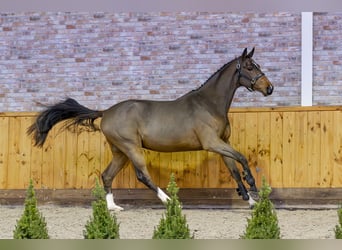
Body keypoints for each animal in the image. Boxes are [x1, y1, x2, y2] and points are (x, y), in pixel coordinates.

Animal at [27, 47, 272, 210]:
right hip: (131, 148)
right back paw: (170, 201)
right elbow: (242, 158)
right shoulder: (212, 143)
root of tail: (106, 111)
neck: (209, 104)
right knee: (142, 175)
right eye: (250, 67)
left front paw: (249, 198)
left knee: (107, 175)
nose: (269, 88)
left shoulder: (223, 143)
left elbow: (234, 168)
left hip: (120, 152)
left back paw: (113, 208)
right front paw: (253, 187)